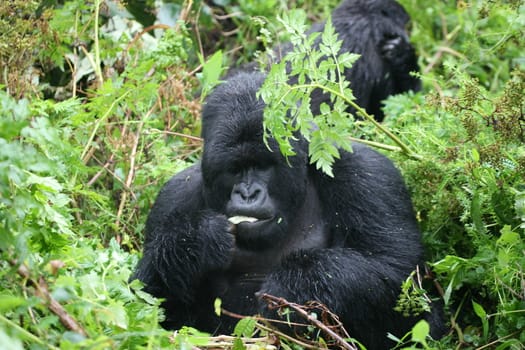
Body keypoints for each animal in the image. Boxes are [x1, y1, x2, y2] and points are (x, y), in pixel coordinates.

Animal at [131, 72, 442, 350]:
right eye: (234, 169)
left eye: (263, 165)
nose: (248, 194)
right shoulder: (173, 197)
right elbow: (146, 302)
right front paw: (193, 241)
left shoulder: (368, 174)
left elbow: (399, 281)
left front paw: (294, 285)